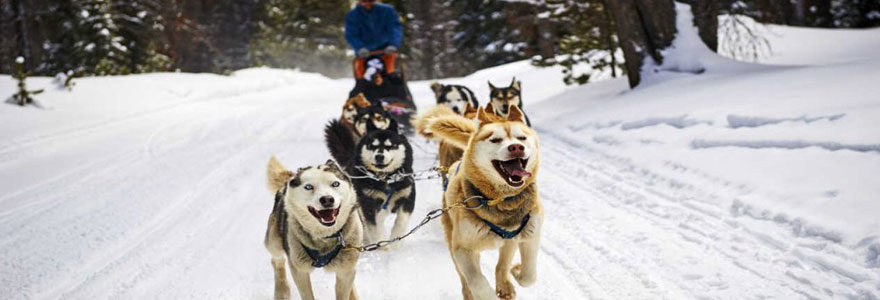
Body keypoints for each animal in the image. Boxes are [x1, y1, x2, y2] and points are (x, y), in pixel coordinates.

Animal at [268, 158, 364, 298]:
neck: (324, 237)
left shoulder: (345, 271)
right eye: (309, 187)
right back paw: (282, 291)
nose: (327, 199)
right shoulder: (299, 269)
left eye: (335, 184)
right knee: (277, 260)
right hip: (274, 241)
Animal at [422, 106, 540, 300]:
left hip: (509, 242)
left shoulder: (530, 236)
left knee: (501, 265)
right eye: (495, 140)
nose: (516, 147)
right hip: (457, 247)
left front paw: (516, 270)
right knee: (465, 281)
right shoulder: (463, 249)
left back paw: (505, 285)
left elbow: (529, 276)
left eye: (522, 138)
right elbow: (478, 283)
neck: (501, 200)